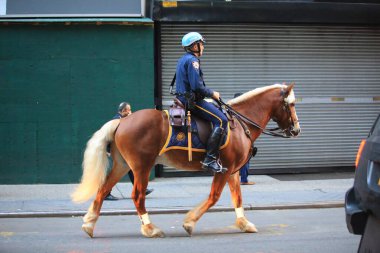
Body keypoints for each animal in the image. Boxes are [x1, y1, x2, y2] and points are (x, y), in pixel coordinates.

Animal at [71, 83, 302, 237]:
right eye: (290, 104)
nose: (297, 129)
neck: (239, 122)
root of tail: (122, 121)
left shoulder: (233, 171)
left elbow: (237, 198)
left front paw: (244, 223)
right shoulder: (224, 169)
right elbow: (214, 197)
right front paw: (189, 222)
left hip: (122, 165)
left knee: (103, 189)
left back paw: (89, 223)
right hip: (141, 167)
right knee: (137, 196)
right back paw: (150, 228)